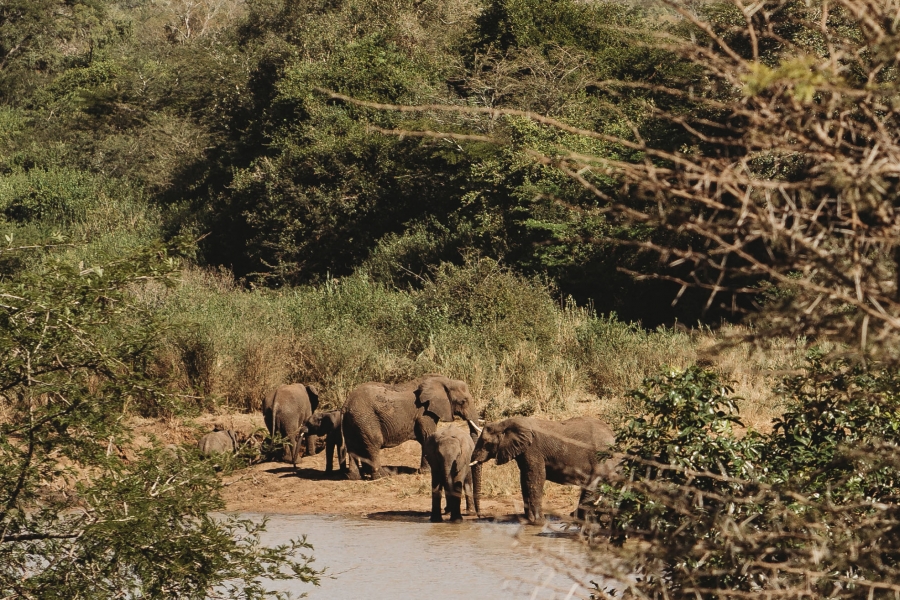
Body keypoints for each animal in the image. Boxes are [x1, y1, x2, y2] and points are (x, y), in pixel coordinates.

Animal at [342, 372, 482, 480]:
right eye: (463, 401)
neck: (445, 380)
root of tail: (346, 403)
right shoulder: (424, 411)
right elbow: (427, 436)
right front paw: (428, 472)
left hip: (353, 420)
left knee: (353, 446)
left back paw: (356, 477)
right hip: (366, 418)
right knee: (374, 442)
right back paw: (382, 476)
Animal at [468, 414, 616, 524]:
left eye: (487, 443)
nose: (480, 516)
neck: (503, 424)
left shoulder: (533, 449)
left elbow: (535, 477)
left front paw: (538, 522)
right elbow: (525, 478)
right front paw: (529, 521)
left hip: (602, 457)